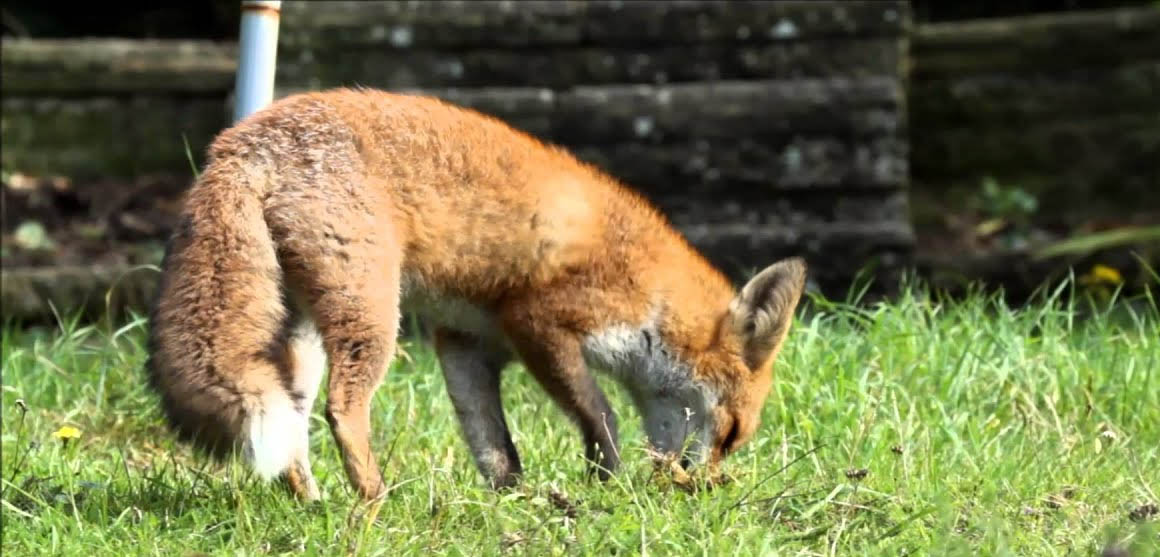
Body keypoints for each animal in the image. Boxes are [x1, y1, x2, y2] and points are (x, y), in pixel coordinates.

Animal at [145, 87, 807, 501]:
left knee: (297, 423)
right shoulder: (539, 323)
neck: (650, 291)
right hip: (372, 314)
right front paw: (608, 483)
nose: (701, 491)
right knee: (342, 409)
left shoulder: (466, 339)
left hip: (298, 338)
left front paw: (511, 502)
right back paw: (375, 503)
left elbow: (491, 443)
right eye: (730, 435)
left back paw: (311, 504)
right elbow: (601, 414)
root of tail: (239, 141)